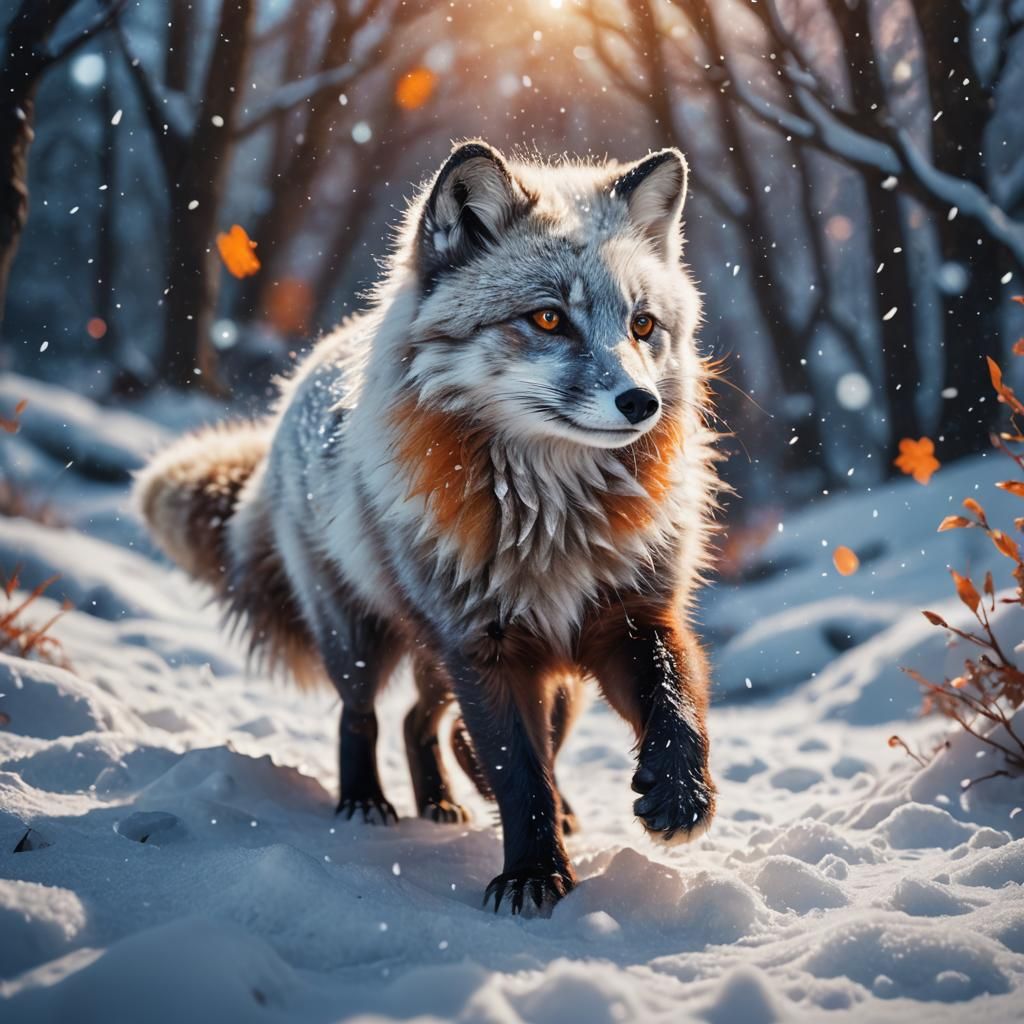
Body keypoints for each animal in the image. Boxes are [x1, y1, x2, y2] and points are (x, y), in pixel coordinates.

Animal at [136, 141, 720, 914]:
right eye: (548, 320)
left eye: (643, 325)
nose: (641, 402)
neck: (552, 525)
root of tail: (301, 382)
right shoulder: (483, 647)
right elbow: (521, 775)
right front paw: (533, 874)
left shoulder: (627, 616)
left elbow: (673, 698)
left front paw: (682, 794)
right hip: (365, 640)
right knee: (363, 717)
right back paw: (365, 804)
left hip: (494, 668)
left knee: (426, 722)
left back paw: (446, 798)